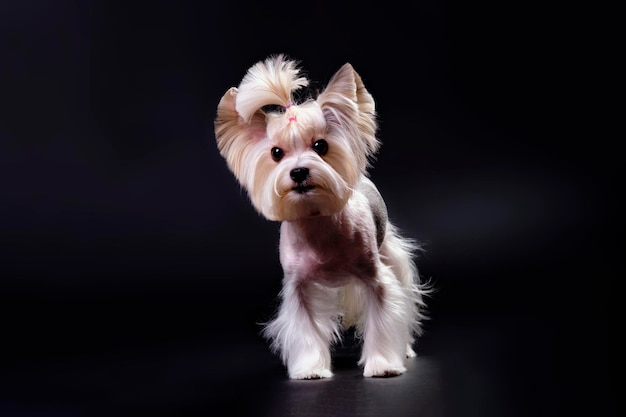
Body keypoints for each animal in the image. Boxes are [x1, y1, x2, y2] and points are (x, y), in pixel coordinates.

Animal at [212, 54, 426, 376]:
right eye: (276, 153)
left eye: (320, 146)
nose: (299, 171)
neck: (317, 218)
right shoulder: (298, 288)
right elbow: (306, 329)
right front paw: (311, 369)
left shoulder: (375, 279)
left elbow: (383, 315)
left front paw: (383, 365)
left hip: (390, 251)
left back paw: (408, 350)